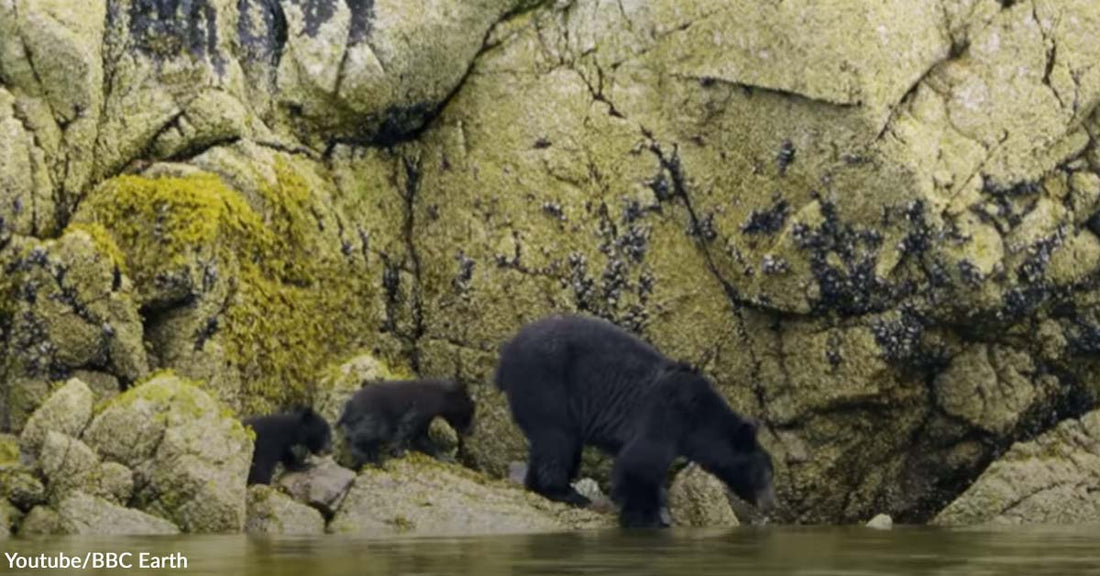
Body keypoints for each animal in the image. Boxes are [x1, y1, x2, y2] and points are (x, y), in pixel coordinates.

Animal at [337, 379, 475, 468]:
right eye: (468, 415)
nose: (470, 432)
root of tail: (349, 408)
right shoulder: (422, 407)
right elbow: (407, 426)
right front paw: (398, 451)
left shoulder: (425, 418)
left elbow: (422, 437)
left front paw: (445, 457)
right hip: (373, 416)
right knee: (365, 434)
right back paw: (373, 459)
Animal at [494, 314, 776, 527]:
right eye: (765, 474)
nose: (770, 504)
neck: (698, 418)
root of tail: (506, 354)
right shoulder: (667, 415)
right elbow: (638, 462)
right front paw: (646, 516)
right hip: (546, 384)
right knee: (556, 439)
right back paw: (564, 493)